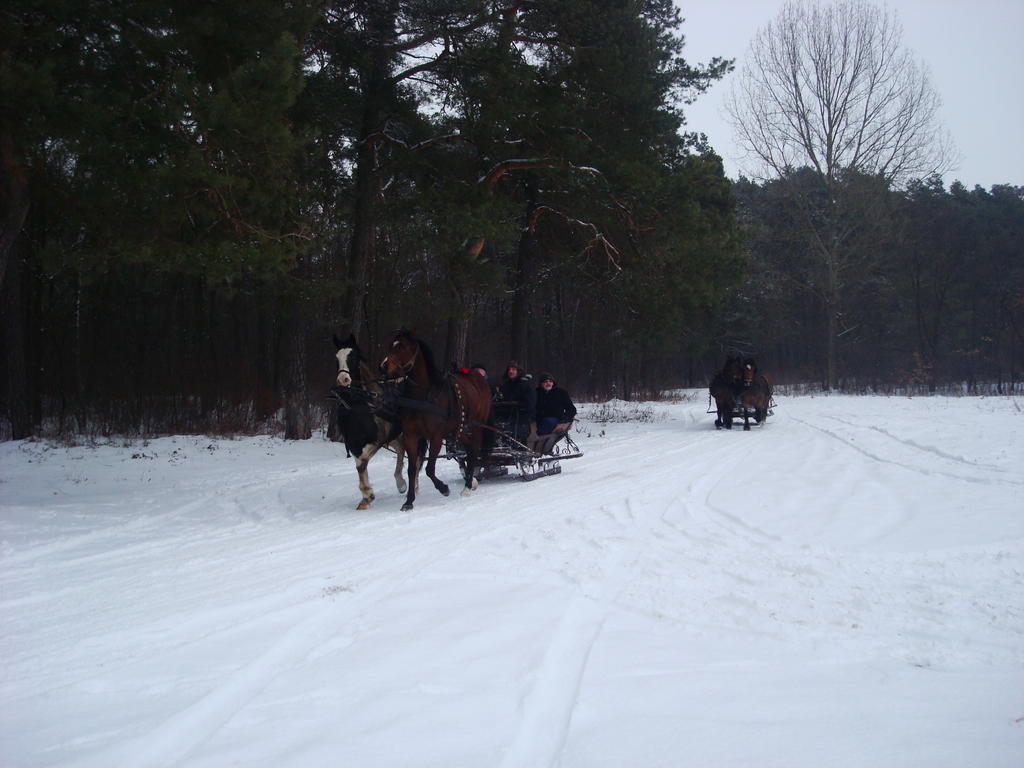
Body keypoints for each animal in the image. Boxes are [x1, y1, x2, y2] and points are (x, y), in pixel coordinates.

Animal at [329, 331, 405, 507]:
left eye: (354, 357)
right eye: (336, 358)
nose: (343, 380)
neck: (359, 405)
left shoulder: (377, 440)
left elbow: (362, 463)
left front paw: (367, 493)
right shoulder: (354, 443)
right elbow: (360, 465)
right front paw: (366, 496)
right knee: (401, 449)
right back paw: (400, 482)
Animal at [385, 331, 495, 512]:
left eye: (402, 347)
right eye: (391, 345)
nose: (383, 366)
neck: (423, 397)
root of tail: (480, 379)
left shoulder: (436, 436)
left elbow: (430, 469)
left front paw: (444, 488)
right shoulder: (411, 436)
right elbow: (412, 469)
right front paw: (409, 501)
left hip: (476, 425)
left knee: (474, 450)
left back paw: (467, 486)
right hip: (459, 429)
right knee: (469, 449)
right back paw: (470, 482)